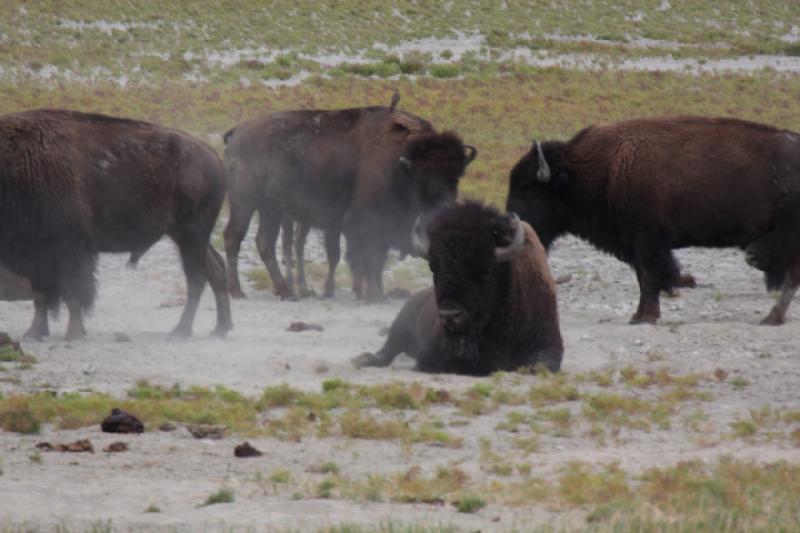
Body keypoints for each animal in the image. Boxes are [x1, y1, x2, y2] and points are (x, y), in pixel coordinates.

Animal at [0, 109, 231, 340]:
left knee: (197, 278)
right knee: (216, 271)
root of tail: (214, 157)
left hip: (191, 233)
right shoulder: (34, 253)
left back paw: (180, 331)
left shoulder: (69, 249)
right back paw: (220, 328)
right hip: (185, 235)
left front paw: (74, 333)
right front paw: (33, 333)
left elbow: (73, 292)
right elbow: (40, 296)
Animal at [354, 202, 564, 376]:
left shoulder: (549, 346)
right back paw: (362, 359)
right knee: (388, 350)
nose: (450, 315)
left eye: (485, 269)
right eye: (434, 267)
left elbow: (538, 364)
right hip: (401, 323)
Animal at [506, 115, 800, 324]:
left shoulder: (647, 241)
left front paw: (646, 317)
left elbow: (650, 277)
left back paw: (771, 318)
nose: (511, 227)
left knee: (792, 277)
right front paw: (638, 316)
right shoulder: (634, 244)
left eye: (527, 188)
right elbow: (643, 278)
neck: (597, 170)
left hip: (788, 235)